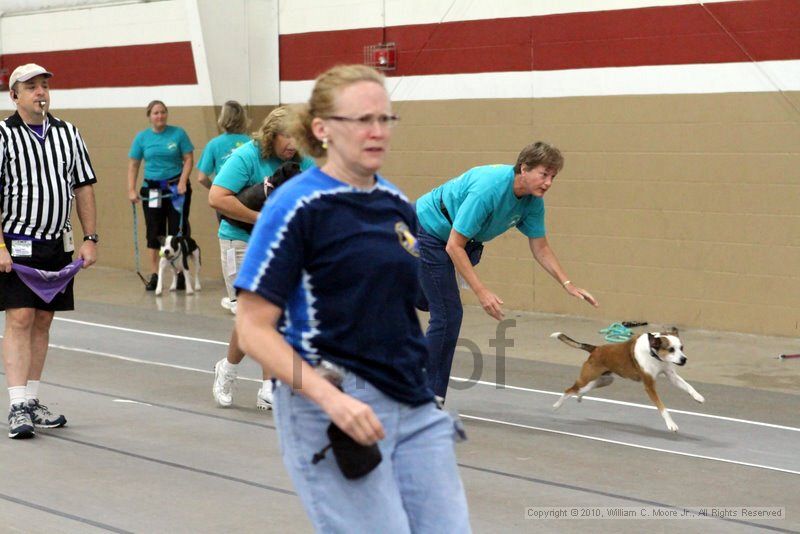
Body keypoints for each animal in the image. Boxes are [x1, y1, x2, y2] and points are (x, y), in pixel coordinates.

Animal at [552, 328, 704, 434]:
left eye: (681, 348)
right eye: (671, 349)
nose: (684, 359)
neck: (652, 353)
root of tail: (595, 349)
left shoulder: (671, 375)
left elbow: (688, 386)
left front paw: (698, 397)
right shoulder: (649, 386)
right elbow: (662, 408)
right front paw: (671, 424)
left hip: (606, 379)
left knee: (583, 388)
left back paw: (580, 396)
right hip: (587, 378)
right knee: (569, 390)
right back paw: (557, 405)